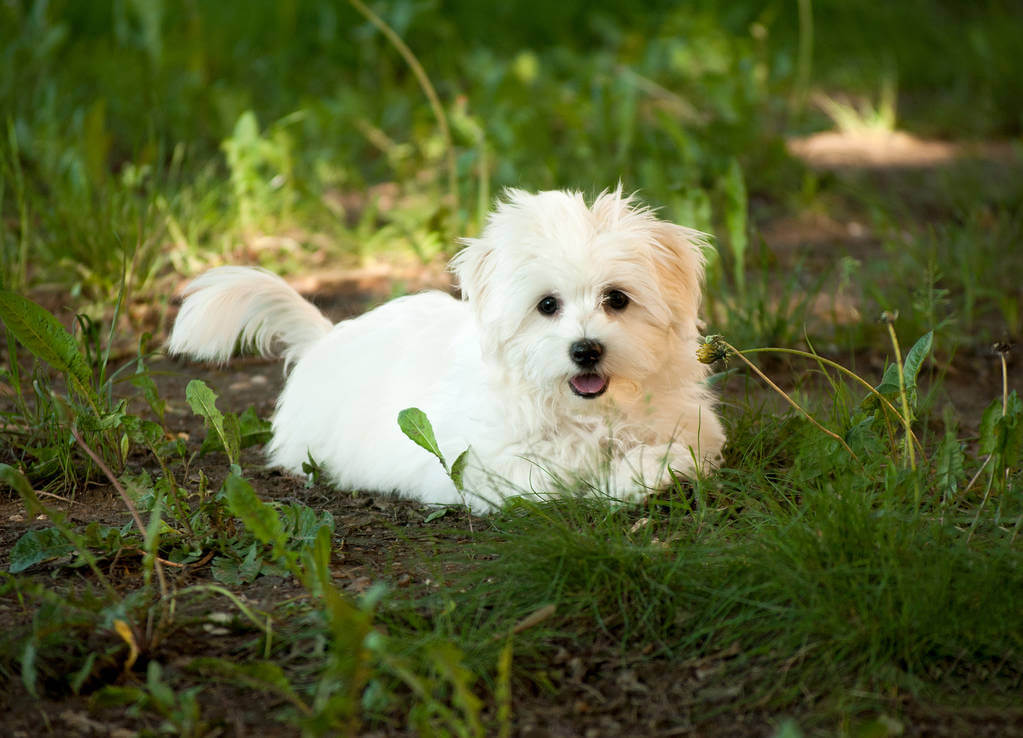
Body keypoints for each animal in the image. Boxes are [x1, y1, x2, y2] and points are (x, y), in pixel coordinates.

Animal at [167, 188, 724, 511]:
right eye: (547, 305)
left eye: (617, 299)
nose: (585, 350)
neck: (585, 410)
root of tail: (326, 337)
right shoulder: (484, 463)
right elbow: (548, 472)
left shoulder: (689, 428)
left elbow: (669, 454)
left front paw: (632, 475)